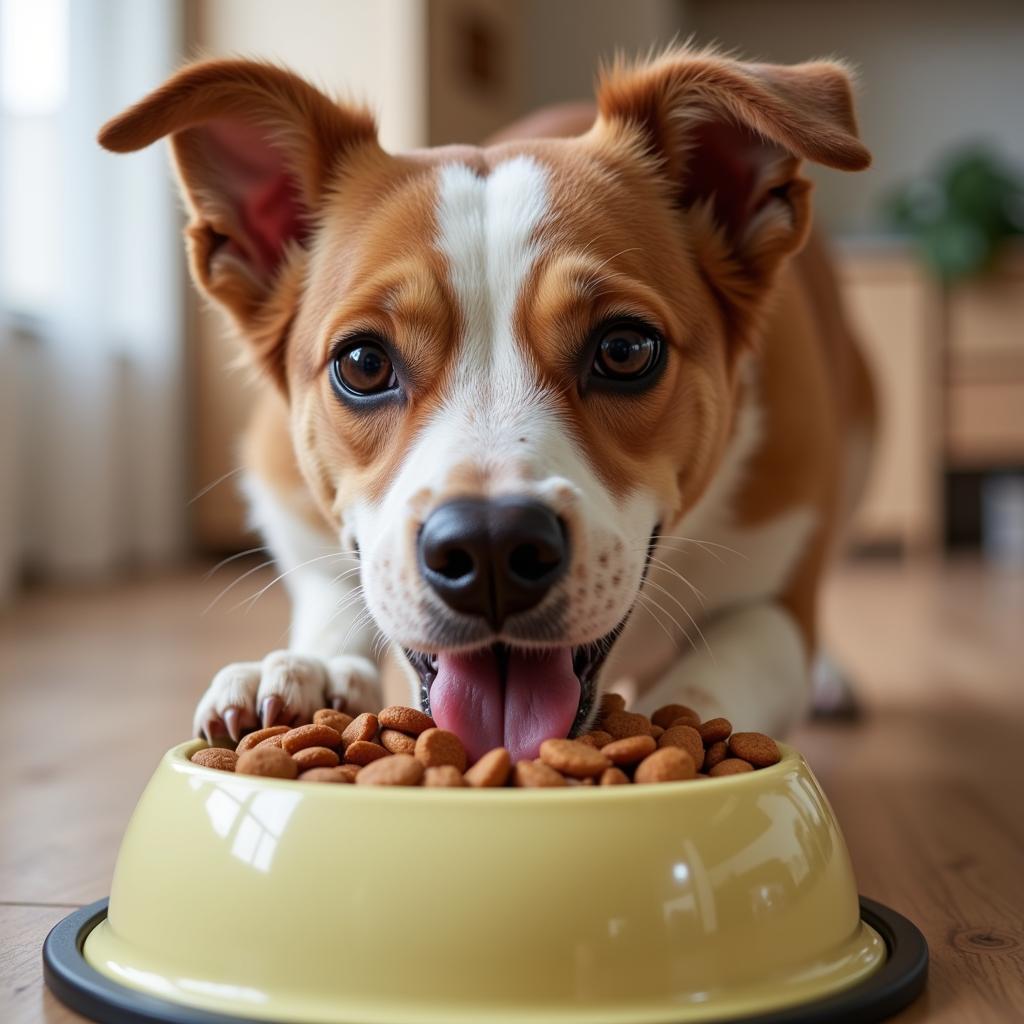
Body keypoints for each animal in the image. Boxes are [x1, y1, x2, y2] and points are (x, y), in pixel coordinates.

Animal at [99, 48, 872, 770]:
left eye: (625, 349)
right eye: (363, 363)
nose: (491, 548)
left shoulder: (784, 570)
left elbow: (734, 654)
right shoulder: (285, 499)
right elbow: (330, 591)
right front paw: (307, 669)